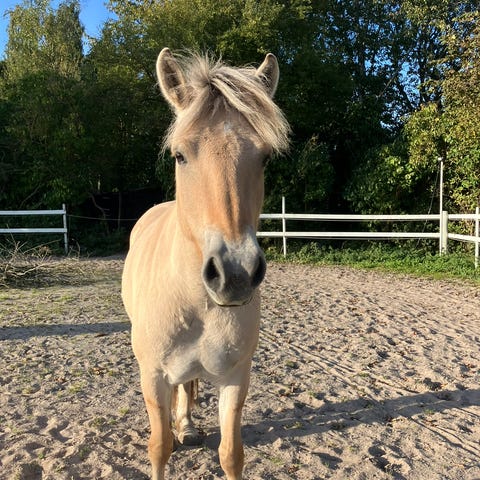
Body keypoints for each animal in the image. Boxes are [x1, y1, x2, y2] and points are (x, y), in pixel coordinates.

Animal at [122, 48, 289, 480]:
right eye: (180, 155)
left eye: (264, 157)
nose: (235, 274)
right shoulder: (153, 375)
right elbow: (159, 447)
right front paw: (169, 436)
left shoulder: (236, 377)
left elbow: (231, 453)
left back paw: (187, 425)